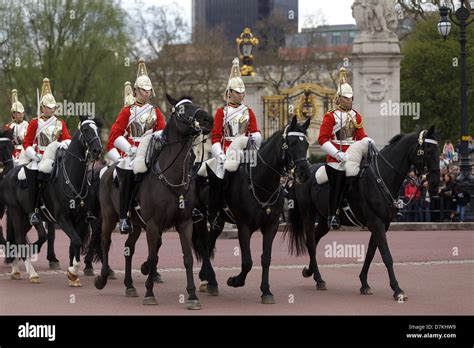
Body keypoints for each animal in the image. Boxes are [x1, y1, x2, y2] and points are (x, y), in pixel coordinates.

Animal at [3, 117, 102, 286]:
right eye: (86, 130)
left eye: (97, 130)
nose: (98, 150)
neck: (72, 180)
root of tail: (10, 173)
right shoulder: (62, 219)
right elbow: (76, 241)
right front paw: (73, 271)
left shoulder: (80, 220)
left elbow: (74, 244)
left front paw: (73, 275)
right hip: (17, 213)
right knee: (21, 239)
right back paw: (32, 273)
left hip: (24, 219)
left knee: (19, 239)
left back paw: (16, 270)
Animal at [94, 95, 213, 310]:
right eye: (182, 110)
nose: (208, 119)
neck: (171, 177)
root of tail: (108, 170)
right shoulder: (153, 224)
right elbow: (153, 255)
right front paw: (149, 293)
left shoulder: (184, 223)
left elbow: (187, 258)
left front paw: (192, 296)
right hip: (110, 217)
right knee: (105, 242)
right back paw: (103, 278)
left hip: (135, 225)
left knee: (128, 248)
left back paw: (129, 285)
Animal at [194, 115, 312, 304]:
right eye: (292, 143)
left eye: (306, 144)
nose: (304, 174)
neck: (261, 183)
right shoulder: (244, 227)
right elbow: (247, 262)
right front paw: (235, 281)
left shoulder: (271, 226)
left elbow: (266, 258)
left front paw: (266, 291)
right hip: (199, 216)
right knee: (202, 245)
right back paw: (210, 280)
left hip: (218, 220)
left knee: (209, 243)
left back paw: (207, 279)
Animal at [288, 126, 440, 300]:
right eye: (427, 149)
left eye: (437, 149)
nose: (435, 182)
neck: (382, 177)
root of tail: (303, 173)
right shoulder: (376, 223)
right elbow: (386, 256)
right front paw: (397, 289)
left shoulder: (383, 224)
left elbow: (371, 253)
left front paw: (364, 283)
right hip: (308, 214)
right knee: (311, 242)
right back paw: (318, 279)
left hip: (324, 219)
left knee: (314, 239)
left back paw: (310, 272)